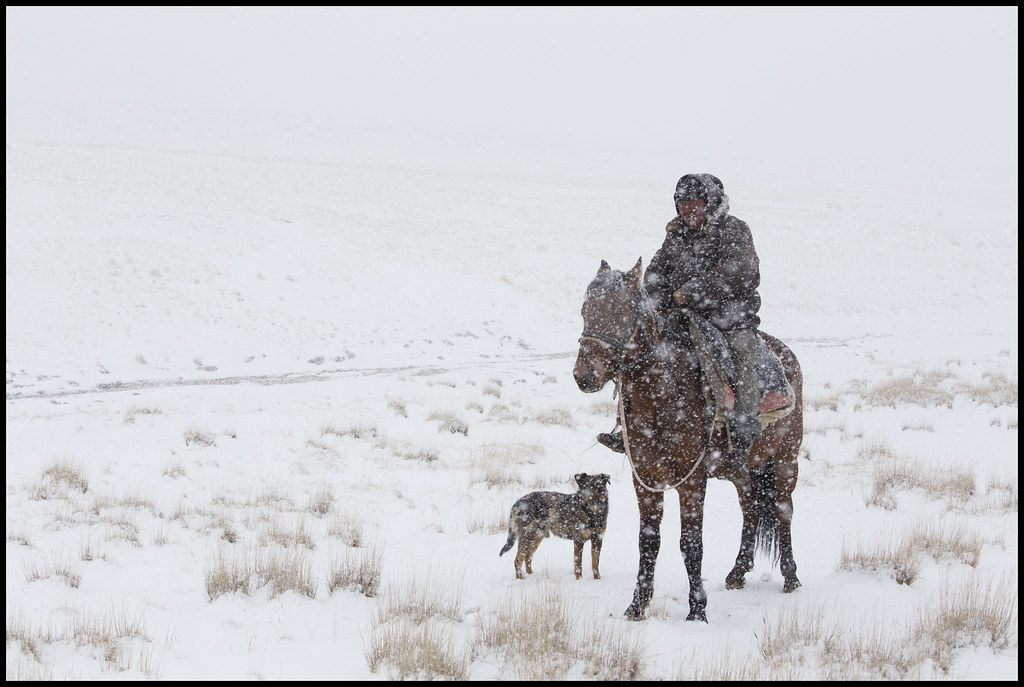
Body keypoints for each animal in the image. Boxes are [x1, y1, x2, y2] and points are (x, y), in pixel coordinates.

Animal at [573, 259, 802, 622]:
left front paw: (697, 610)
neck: (661, 390)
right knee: (751, 509)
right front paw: (637, 606)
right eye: (585, 310)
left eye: (622, 310)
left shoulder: (692, 481)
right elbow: (648, 541)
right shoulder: (646, 479)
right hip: (742, 470)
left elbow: (691, 543)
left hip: (786, 459)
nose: (584, 376)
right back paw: (738, 572)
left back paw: (791, 577)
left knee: (783, 510)